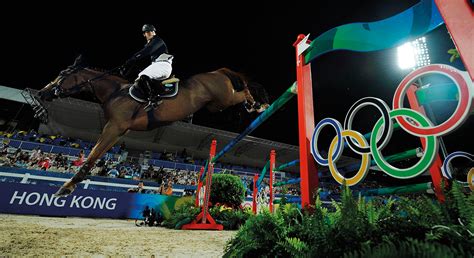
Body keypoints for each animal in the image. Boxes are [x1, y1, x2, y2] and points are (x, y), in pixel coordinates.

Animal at [38, 55, 268, 196]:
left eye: (62, 75)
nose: (42, 93)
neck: (115, 92)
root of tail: (217, 72)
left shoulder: (114, 127)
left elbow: (92, 156)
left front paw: (66, 187)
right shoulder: (118, 131)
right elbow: (96, 154)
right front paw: (70, 185)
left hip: (223, 98)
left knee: (244, 91)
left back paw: (258, 105)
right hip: (215, 104)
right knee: (242, 89)